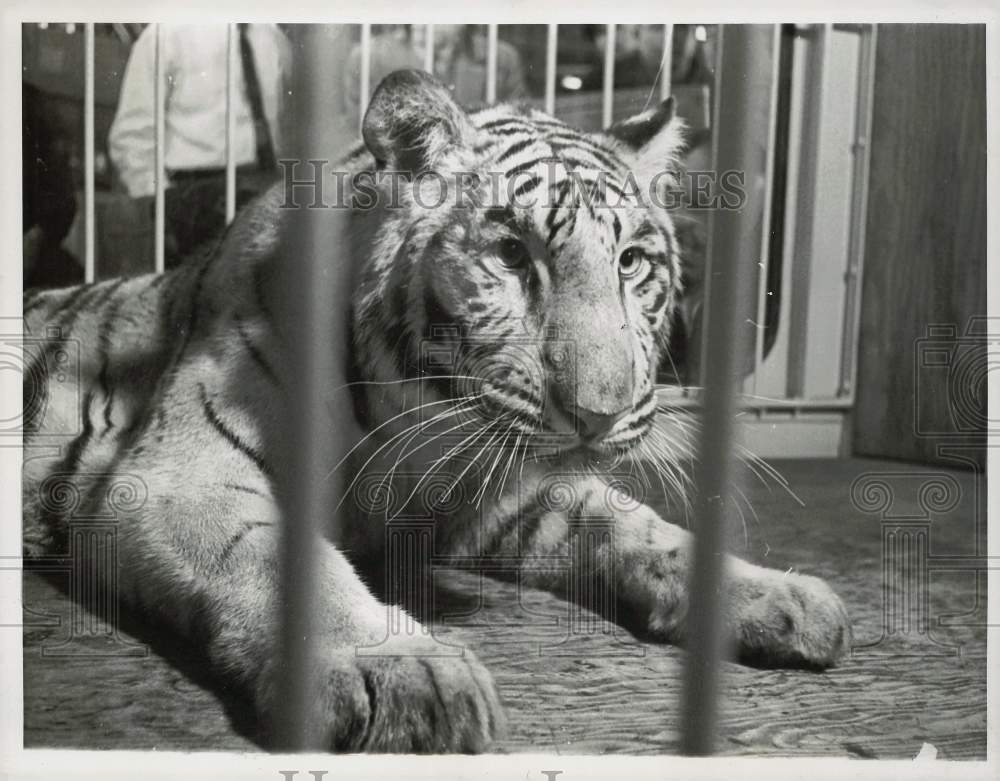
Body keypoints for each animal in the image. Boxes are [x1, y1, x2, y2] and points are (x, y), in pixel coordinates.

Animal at [21, 70, 852, 752]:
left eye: (632, 263)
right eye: (512, 255)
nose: (599, 413)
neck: (419, 424)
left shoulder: (497, 501)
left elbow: (639, 528)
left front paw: (778, 594)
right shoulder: (177, 478)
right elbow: (278, 557)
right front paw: (404, 669)